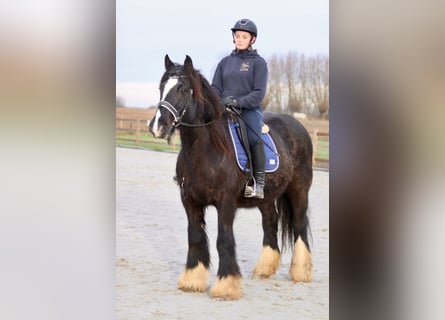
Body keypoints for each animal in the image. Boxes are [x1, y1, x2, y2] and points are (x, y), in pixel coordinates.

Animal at [149, 54, 312, 300]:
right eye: (162, 86)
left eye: (183, 89)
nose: (158, 126)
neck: (207, 150)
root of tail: (297, 125)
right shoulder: (190, 202)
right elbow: (195, 237)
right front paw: (192, 280)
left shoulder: (225, 203)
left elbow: (224, 240)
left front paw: (226, 285)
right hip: (266, 198)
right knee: (270, 223)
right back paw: (265, 268)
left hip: (299, 190)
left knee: (300, 225)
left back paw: (301, 272)